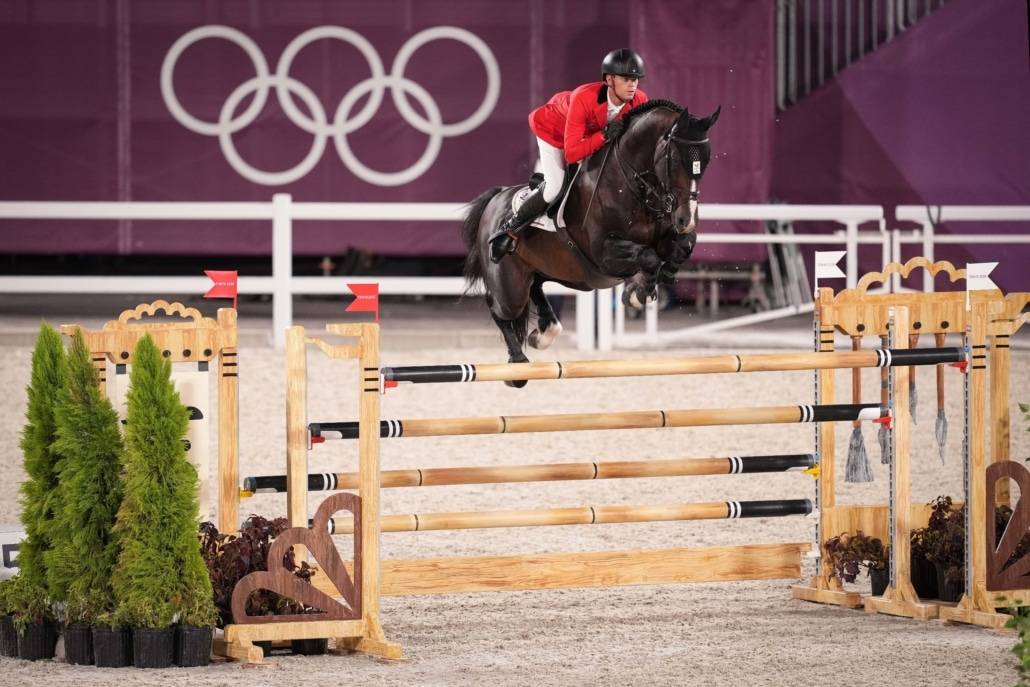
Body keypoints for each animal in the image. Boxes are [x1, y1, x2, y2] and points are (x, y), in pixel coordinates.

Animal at [461, 100, 720, 386]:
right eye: (675, 159)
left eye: (706, 160)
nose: (687, 219)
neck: (631, 185)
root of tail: (495, 199)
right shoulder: (604, 254)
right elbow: (648, 256)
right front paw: (638, 294)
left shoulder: (665, 235)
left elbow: (682, 246)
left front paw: (656, 280)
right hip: (510, 286)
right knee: (499, 307)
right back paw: (517, 365)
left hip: (540, 270)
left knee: (536, 289)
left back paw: (543, 333)